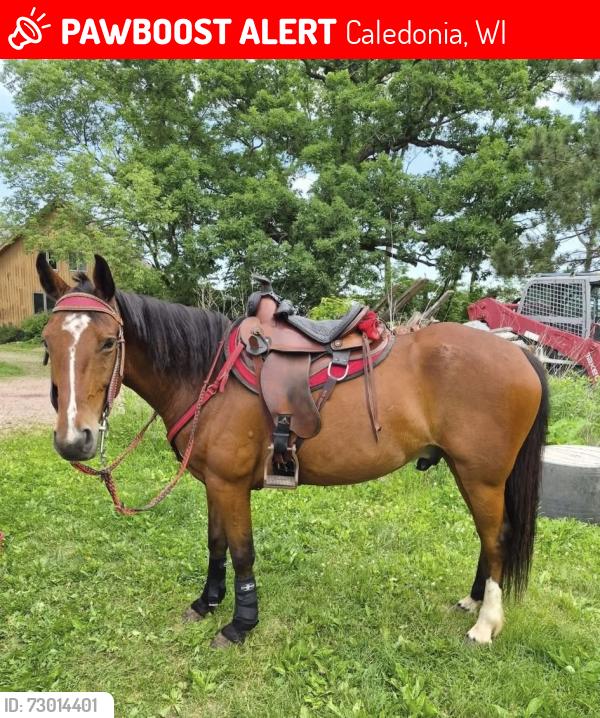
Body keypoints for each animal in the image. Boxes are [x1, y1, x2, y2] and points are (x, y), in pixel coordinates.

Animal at [36, 252, 548, 648]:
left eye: (107, 342)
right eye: (47, 342)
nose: (75, 439)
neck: (207, 374)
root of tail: (519, 353)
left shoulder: (231, 484)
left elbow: (242, 552)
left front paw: (240, 624)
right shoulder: (214, 482)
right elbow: (216, 544)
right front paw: (207, 602)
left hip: (482, 474)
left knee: (497, 536)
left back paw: (485, 624)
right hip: (467, 471)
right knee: (487, 535)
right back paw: (474, 600)